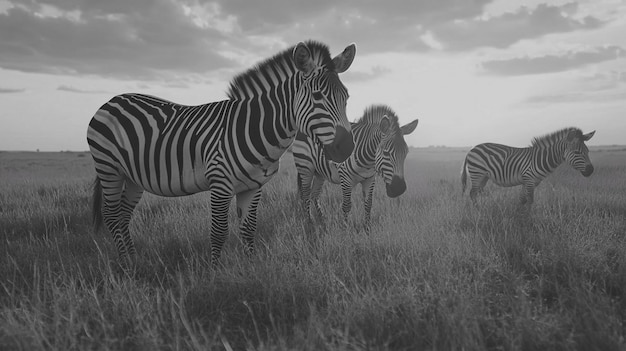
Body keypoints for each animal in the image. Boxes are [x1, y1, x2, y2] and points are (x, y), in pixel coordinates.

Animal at [86, 40, 356, 266]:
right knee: (111, 215)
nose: (347, 148)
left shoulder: (253, 187)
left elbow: (248, 230)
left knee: (123, 215)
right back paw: (125, 264)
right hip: (109, 169)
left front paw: (251, 271)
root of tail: (111, 100)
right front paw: (215, 273)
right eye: (317, 96)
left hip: (132, 177)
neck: (253, 128)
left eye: (347, 97)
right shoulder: (220, 184)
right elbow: (218, 232)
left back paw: (133, 259)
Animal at [290, 104, 416, 234]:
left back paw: (322, 221)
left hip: (320, 173)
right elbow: (346, 206)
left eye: (406, 153)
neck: (368, 162)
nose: (399, 189)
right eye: (386, 153)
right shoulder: (345, 179)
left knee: (314, 195)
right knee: (306, 196)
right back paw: (310, 223)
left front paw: (367, 230)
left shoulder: (370, 179)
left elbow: (368, 204)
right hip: (305, 168)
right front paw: (345, 231)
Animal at [460, 127, 592, 205]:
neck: (540, 158)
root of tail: (471, 149)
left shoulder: (531, 181)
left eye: (588, 151)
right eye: (577, 152)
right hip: (477, 173)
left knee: (476, 193)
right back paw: (477, 211)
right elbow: (530, 201)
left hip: (483, 177)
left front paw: (519, 216)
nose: (591, 170)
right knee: (472, 193)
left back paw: (481, 209)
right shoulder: (529, 179)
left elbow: (522, 200)